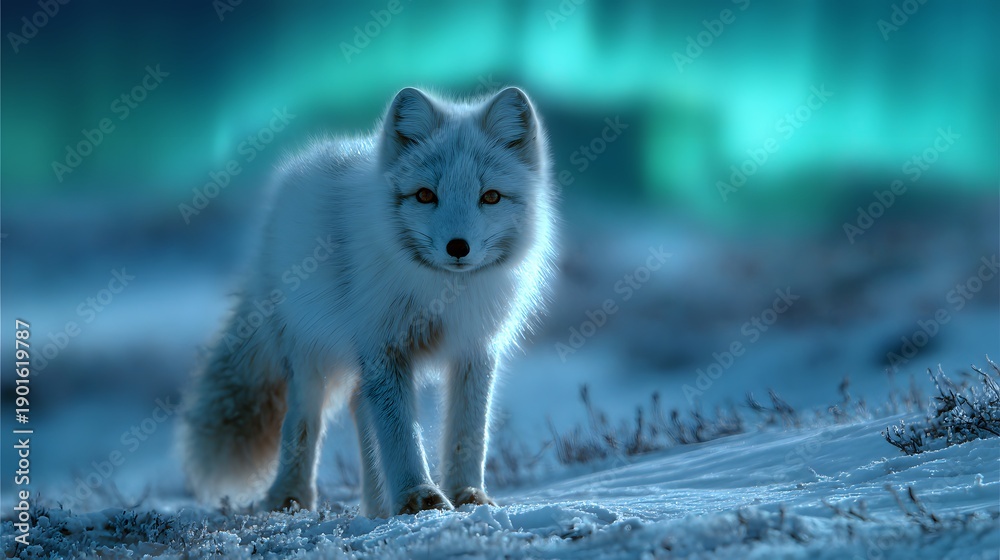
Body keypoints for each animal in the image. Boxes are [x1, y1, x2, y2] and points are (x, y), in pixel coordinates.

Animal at [177, 86, 557, 517]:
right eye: (425, 195)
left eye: (490, 196)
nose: (458, 247)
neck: (442, 294)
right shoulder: (384, 347)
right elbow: (399, 433)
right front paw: (419, 498)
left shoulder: (474, 349)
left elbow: (468, 431)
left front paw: (466, 496)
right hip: (308, 359)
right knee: (302, 423)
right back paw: (290, 498)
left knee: (360, 405)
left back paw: (377, 507)